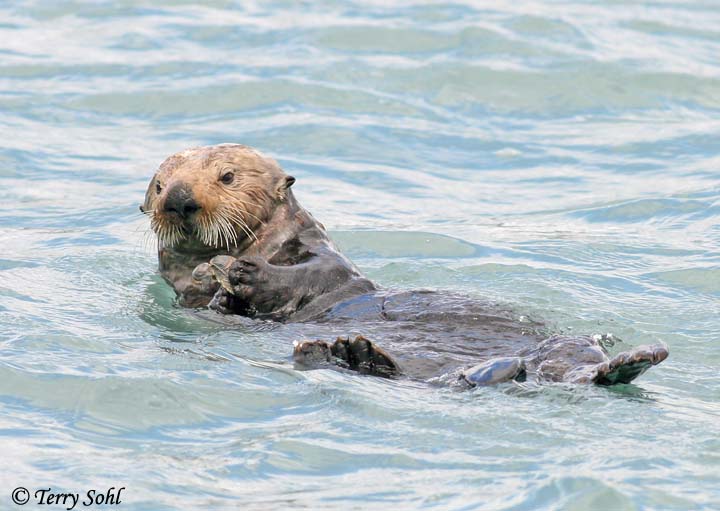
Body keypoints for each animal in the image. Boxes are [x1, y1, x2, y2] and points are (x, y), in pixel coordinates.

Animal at [141, 144, 668, 387]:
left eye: (227, 177)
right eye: (161, 184)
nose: (179, 200)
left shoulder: (323, 256)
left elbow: (312, 274)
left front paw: (242, 272)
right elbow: (203, 301)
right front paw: (216, 281)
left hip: (564, 345)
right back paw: (353, 353)